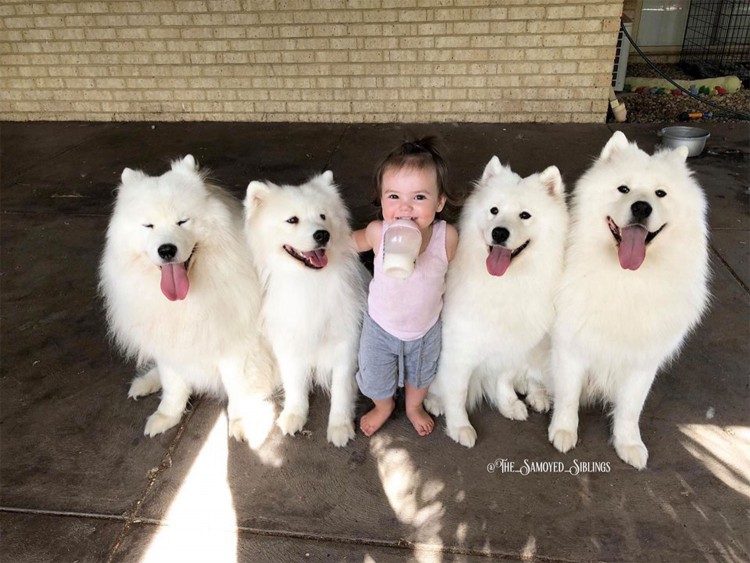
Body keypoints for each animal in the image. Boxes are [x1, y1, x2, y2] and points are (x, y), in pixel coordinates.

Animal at [98, 156, 278, 448]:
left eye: (182, 221)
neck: (188, 299)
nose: (166, 250)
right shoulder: (170, 347)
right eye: (148, 226)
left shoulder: (238, 349)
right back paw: (145, 383)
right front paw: (166, 417)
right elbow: (173, 387)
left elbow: (237, 390)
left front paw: (240, 424)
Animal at [245, 172, 368, 450]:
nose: (322, 235)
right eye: (292, 220)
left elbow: (341, 391)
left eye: (323, 216)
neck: (309, 282)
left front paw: (340, 427)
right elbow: (295, 386)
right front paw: (293, 416)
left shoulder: (346, 343)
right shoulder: (288, 343)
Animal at [426, 156, 568, 448]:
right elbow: (457, 392)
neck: (505, 284)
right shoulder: (459, 350)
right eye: (494, 210)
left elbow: (505, 378)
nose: (499, 233)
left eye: (525, 215)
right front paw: (460, 427)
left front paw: (508, 404)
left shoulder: (512, 346)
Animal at [548, 132, 712, 472]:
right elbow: (568, 396)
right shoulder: (570, 346)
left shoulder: (643, 359)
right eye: (623, 189)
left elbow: (630, 409)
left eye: (661, 193)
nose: (641, 207)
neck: (627, 278)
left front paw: (629, 445)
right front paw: (564, 431)